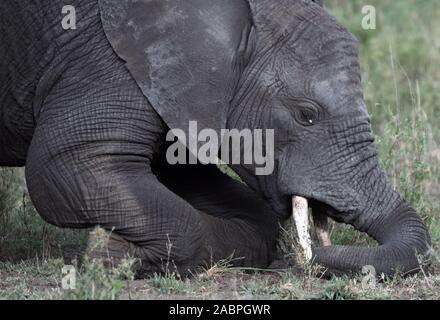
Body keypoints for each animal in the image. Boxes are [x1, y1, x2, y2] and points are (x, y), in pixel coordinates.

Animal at [0, 0, 432, 276]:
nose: (316, 259)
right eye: (306, 115)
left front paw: (108, 252)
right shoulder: (102, 56)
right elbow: (70, 164)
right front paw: (103, 255)